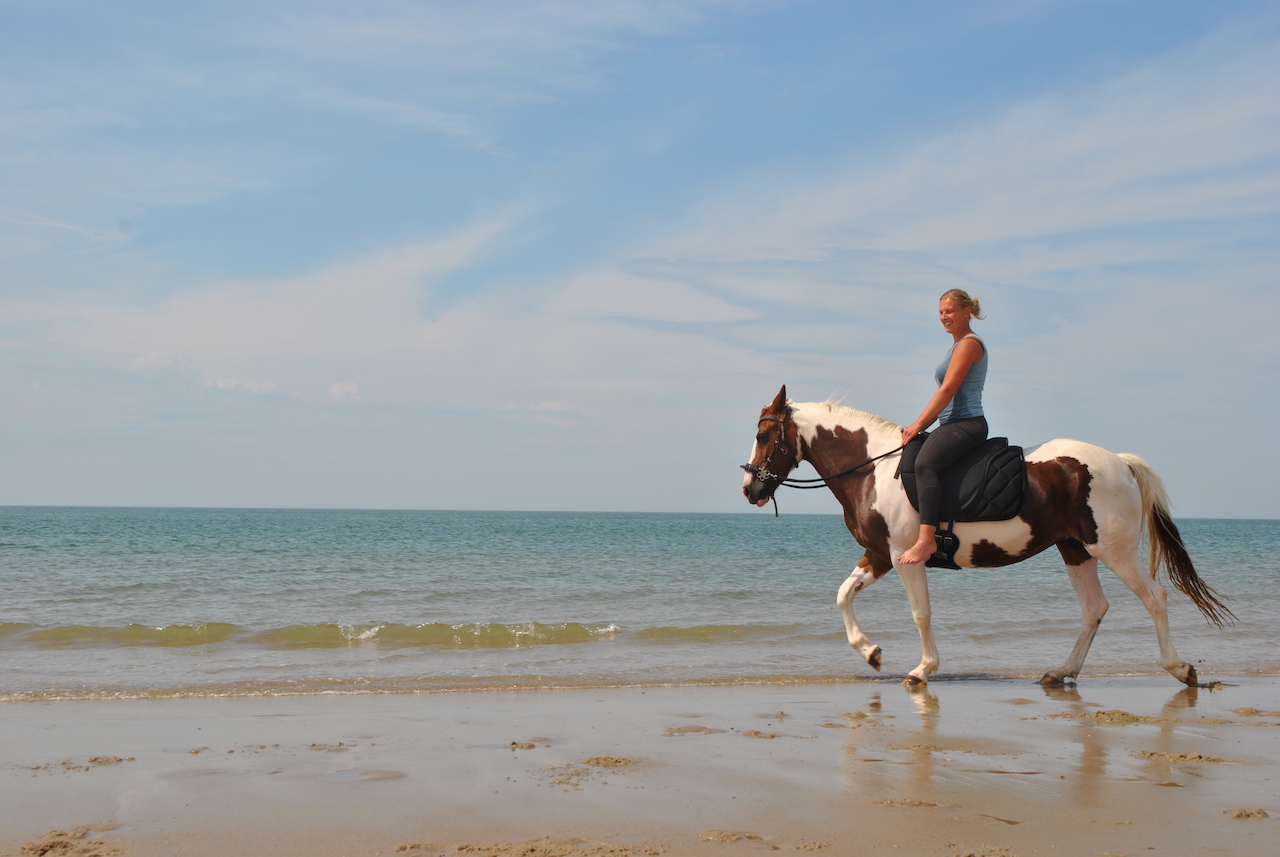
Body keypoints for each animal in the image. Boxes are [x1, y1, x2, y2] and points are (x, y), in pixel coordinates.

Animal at [740, 386, 1232, 687]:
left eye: (763, 434)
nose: (749, 489)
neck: (872, 469)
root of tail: (1120, 462)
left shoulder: (904, 557)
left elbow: (921, 614)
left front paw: (922, 670)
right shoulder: (878, 555)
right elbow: (843, 595)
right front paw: (871, 653)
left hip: (1112, 548)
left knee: (1155, 599)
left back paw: (1180, 669)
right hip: (1075, 549)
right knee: (1095, 609)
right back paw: (1061, 672)